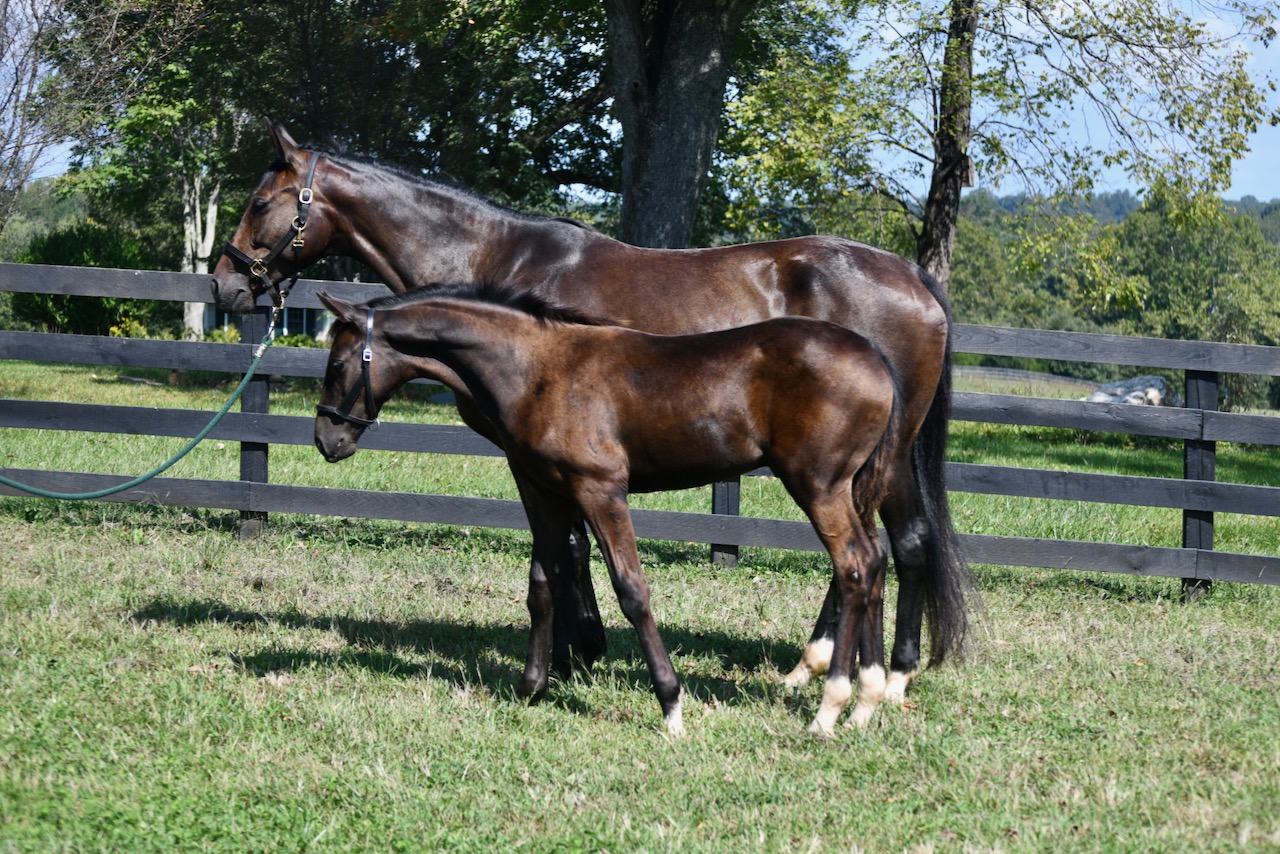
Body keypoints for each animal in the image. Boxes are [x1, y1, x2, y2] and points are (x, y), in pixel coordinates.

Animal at [314, 285, 906, 737]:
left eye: (338, 363)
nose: (325, 439)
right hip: (848, 490)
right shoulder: (543, 489)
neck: (536, 367)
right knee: (876, 562)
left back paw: (829, 710)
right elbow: (543, 582)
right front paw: (531, 688)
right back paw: (866, 703)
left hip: (819, 487)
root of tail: (878, 358)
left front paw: (671, 706)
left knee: (854, 567)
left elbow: (631, 590)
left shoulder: (599, 490)